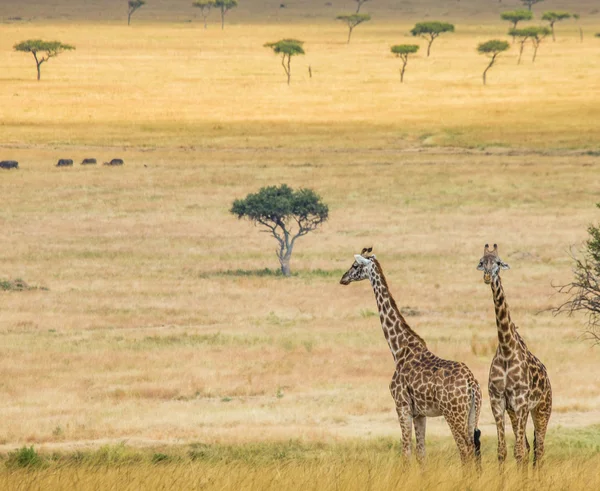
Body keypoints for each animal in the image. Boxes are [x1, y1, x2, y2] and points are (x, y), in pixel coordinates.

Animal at [338, 250, 482, 468]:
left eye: (355, 266)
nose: (343, 278)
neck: (398, 349)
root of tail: (471, 384)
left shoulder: (401, 405)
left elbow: (406, 452)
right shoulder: (420, 413)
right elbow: (421, 454)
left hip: (454, 413)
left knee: (465, 450)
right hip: (474, 412)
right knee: (473, 449)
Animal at [476, 245, 552, 468]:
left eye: (499, 263)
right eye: (482, 262)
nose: (487, 276)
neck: (506, 349)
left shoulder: (521, 402)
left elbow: (518, 451)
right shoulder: (498, 401)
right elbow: (503, 451)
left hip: (542, 410)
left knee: (539, 449)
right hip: (515, 412)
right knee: (528, 447)